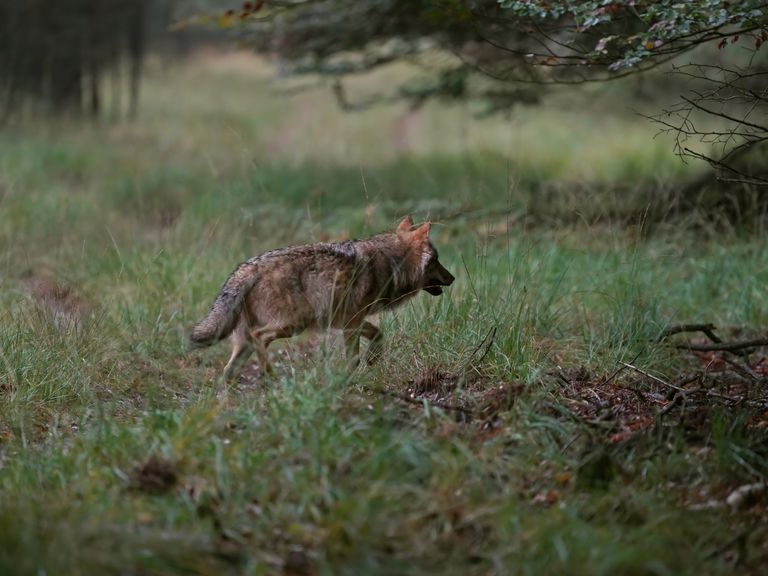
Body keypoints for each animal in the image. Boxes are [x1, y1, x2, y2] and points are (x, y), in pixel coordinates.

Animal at [190, 216, 455, 381]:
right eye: (437, 259)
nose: (452, 278)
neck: (392, 264)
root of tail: (247, 268)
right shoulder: (350, 323)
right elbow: (354, 358)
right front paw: (348, 378)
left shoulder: (349, 321)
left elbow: (378, 335)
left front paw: (372, 360)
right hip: (293, 325)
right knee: (260, 339)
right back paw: (271, 378)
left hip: (247, 341)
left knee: (227, 372)